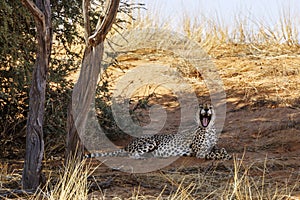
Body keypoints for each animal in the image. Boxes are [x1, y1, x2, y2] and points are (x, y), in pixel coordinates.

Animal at [85, 104, 231, 160]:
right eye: (202, 106)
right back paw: (143, 157)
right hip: (150, 142)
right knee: (132, 155)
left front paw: (225, 153)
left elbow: (220, 150)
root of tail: (128, 144)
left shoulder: (212, 147)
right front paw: (225, 156)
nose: (206, 109)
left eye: (209, 107)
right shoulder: (200, 152)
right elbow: (214, 154)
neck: (208, 128)